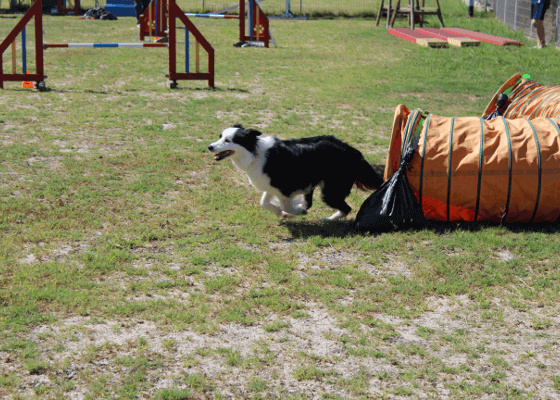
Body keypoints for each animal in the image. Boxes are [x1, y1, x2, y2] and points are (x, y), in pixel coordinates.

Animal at [208, 124, 382, 220]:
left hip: (331, 191)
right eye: (220, 136)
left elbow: (285, 205)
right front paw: (282, 213)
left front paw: (294, 211)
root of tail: (354, 151)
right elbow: (264, 203)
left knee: (346, 208)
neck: (254, 153)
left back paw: (327, 219)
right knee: (314, 202)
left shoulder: (284, 187)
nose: (209, 147)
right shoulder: (271, 185)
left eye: (228, 141)